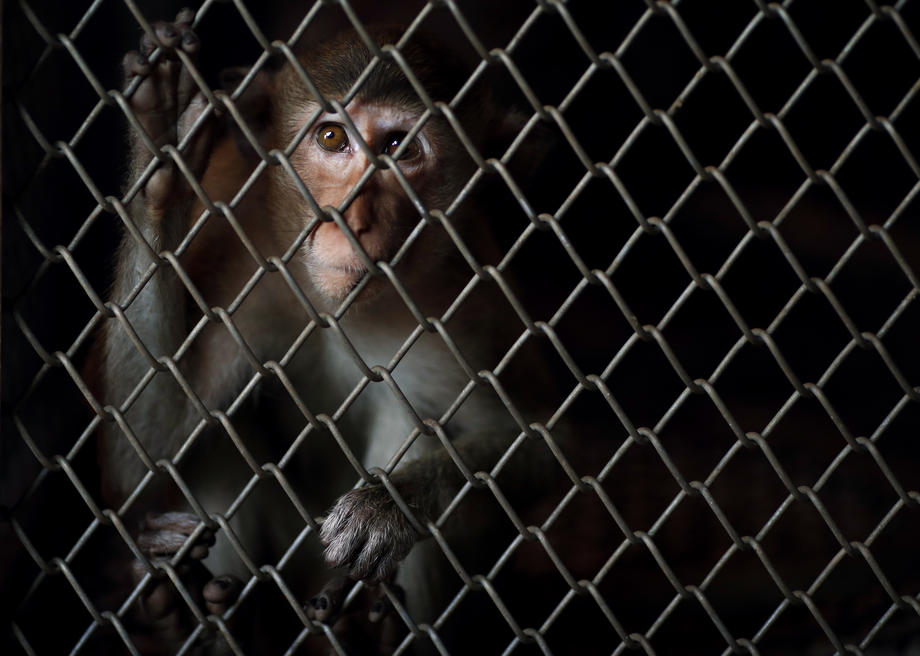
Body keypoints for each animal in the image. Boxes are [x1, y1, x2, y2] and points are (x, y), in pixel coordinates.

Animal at [95, 8, 563, 654]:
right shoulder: (237, 269)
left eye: (398, 148)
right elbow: (145, 457)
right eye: (333, 139)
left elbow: (541, 445)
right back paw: (196, 612)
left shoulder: (476, 304)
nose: (351, 219)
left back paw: (367, 626)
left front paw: (389, 506)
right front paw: (163, 160)